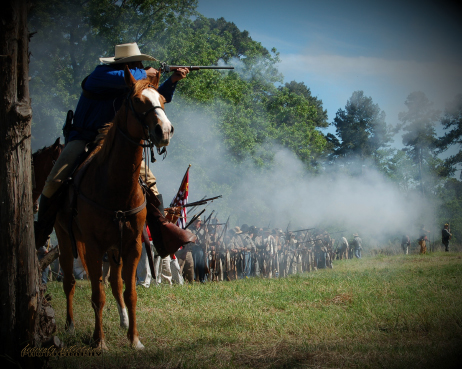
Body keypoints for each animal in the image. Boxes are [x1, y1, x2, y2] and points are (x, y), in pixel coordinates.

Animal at [52, 67, 171, 350]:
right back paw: (70, 326)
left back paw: (124, 322)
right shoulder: (93, 246)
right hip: (65, 238)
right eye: (138, 101)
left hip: (114, 249)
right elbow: (98, 294)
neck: (113, 184)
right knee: (70, 281)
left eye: (162, 99)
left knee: (116, 284)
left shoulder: (132, 245)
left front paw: (135, 339)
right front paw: (99, 341)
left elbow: (130, 292)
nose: (164, 131)